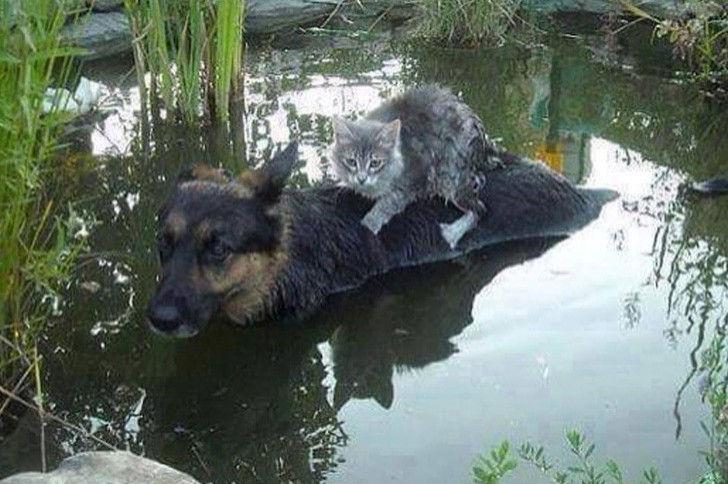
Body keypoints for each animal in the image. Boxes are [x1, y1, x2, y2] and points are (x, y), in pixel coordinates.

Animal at [328, 84, 500, 250]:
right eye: (351, 161)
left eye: (375, 163)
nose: (362, 178)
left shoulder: (415, 178)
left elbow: (387, 203)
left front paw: (369, 224)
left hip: (451, 175)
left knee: (480, 209)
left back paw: (452, 233)